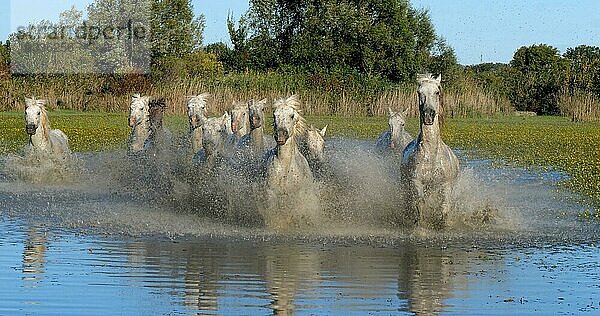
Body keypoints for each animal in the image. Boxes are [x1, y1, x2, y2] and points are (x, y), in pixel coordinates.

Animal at [262, 95, 318, 231]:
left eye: (292, 116)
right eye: (274, 115)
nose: (280, 135)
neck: (285, 166)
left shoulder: (297, 197)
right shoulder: (271, 194)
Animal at [404, 74, 460, 230]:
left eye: (437, 92)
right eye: (419, 92)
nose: (428, 115)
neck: (432, 155)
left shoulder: (445, 185)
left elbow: (444, 207)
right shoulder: (417, 183)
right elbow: (420, 204)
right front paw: (420, 227)